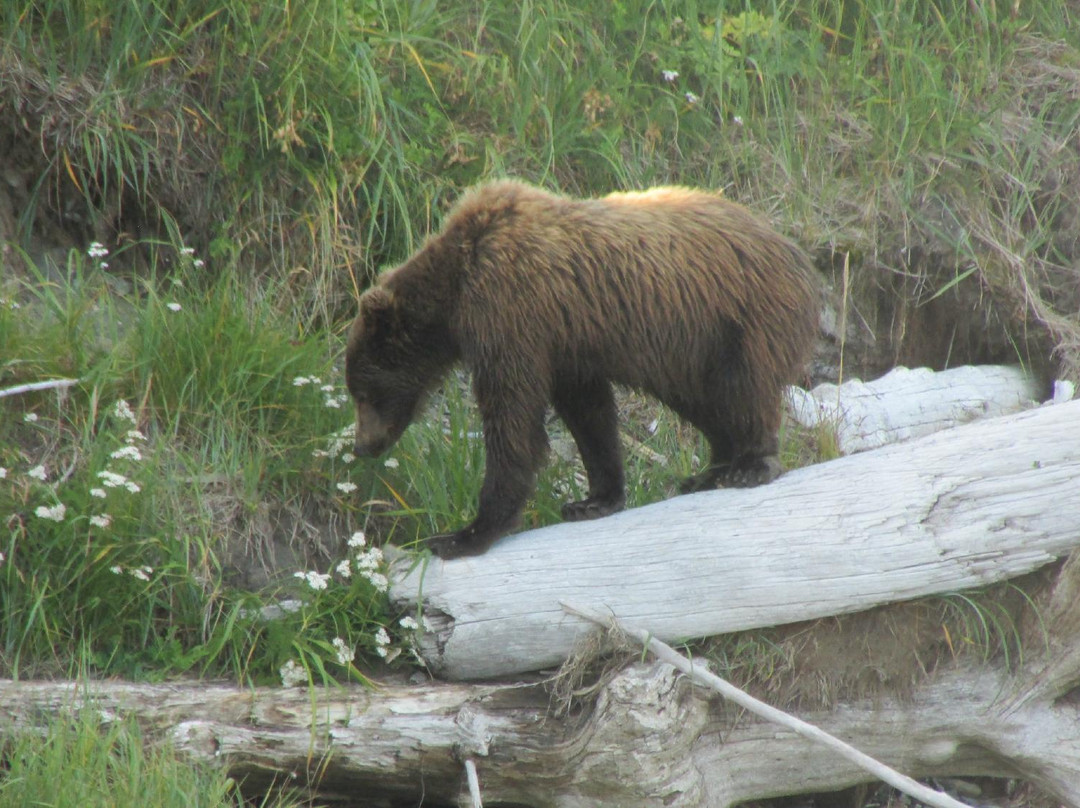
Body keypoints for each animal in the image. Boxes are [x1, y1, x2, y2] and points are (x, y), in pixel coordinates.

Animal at [345, 180, 820, 559]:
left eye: (364, 393)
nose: (362, 446)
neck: (455, 289)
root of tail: (795, 252)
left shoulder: (510, 312)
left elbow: (513, 418)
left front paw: (465, 534)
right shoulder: (567, 343)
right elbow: (589, 416)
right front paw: (594, 500)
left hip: (734, 320)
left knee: (743, 390)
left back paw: (751, 465)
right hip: (689, 348)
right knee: (704, 402)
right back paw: (709, 471)